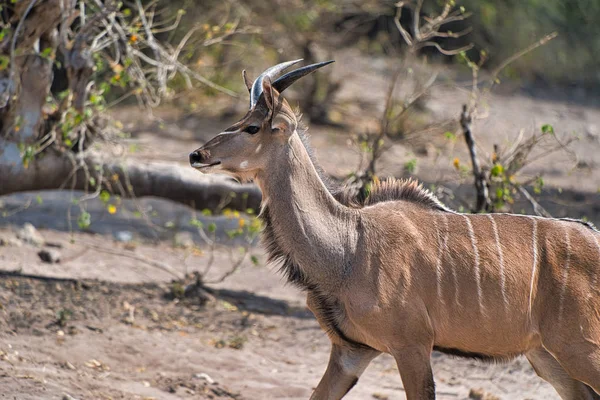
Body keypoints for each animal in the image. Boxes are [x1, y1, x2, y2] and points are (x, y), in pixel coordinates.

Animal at [190, 60, 600, 400]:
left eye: (252, 127)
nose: (197, 155)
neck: (349, 245)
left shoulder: (412, 346)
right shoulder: (351, 353)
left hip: (580, 347)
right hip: (546, 355)